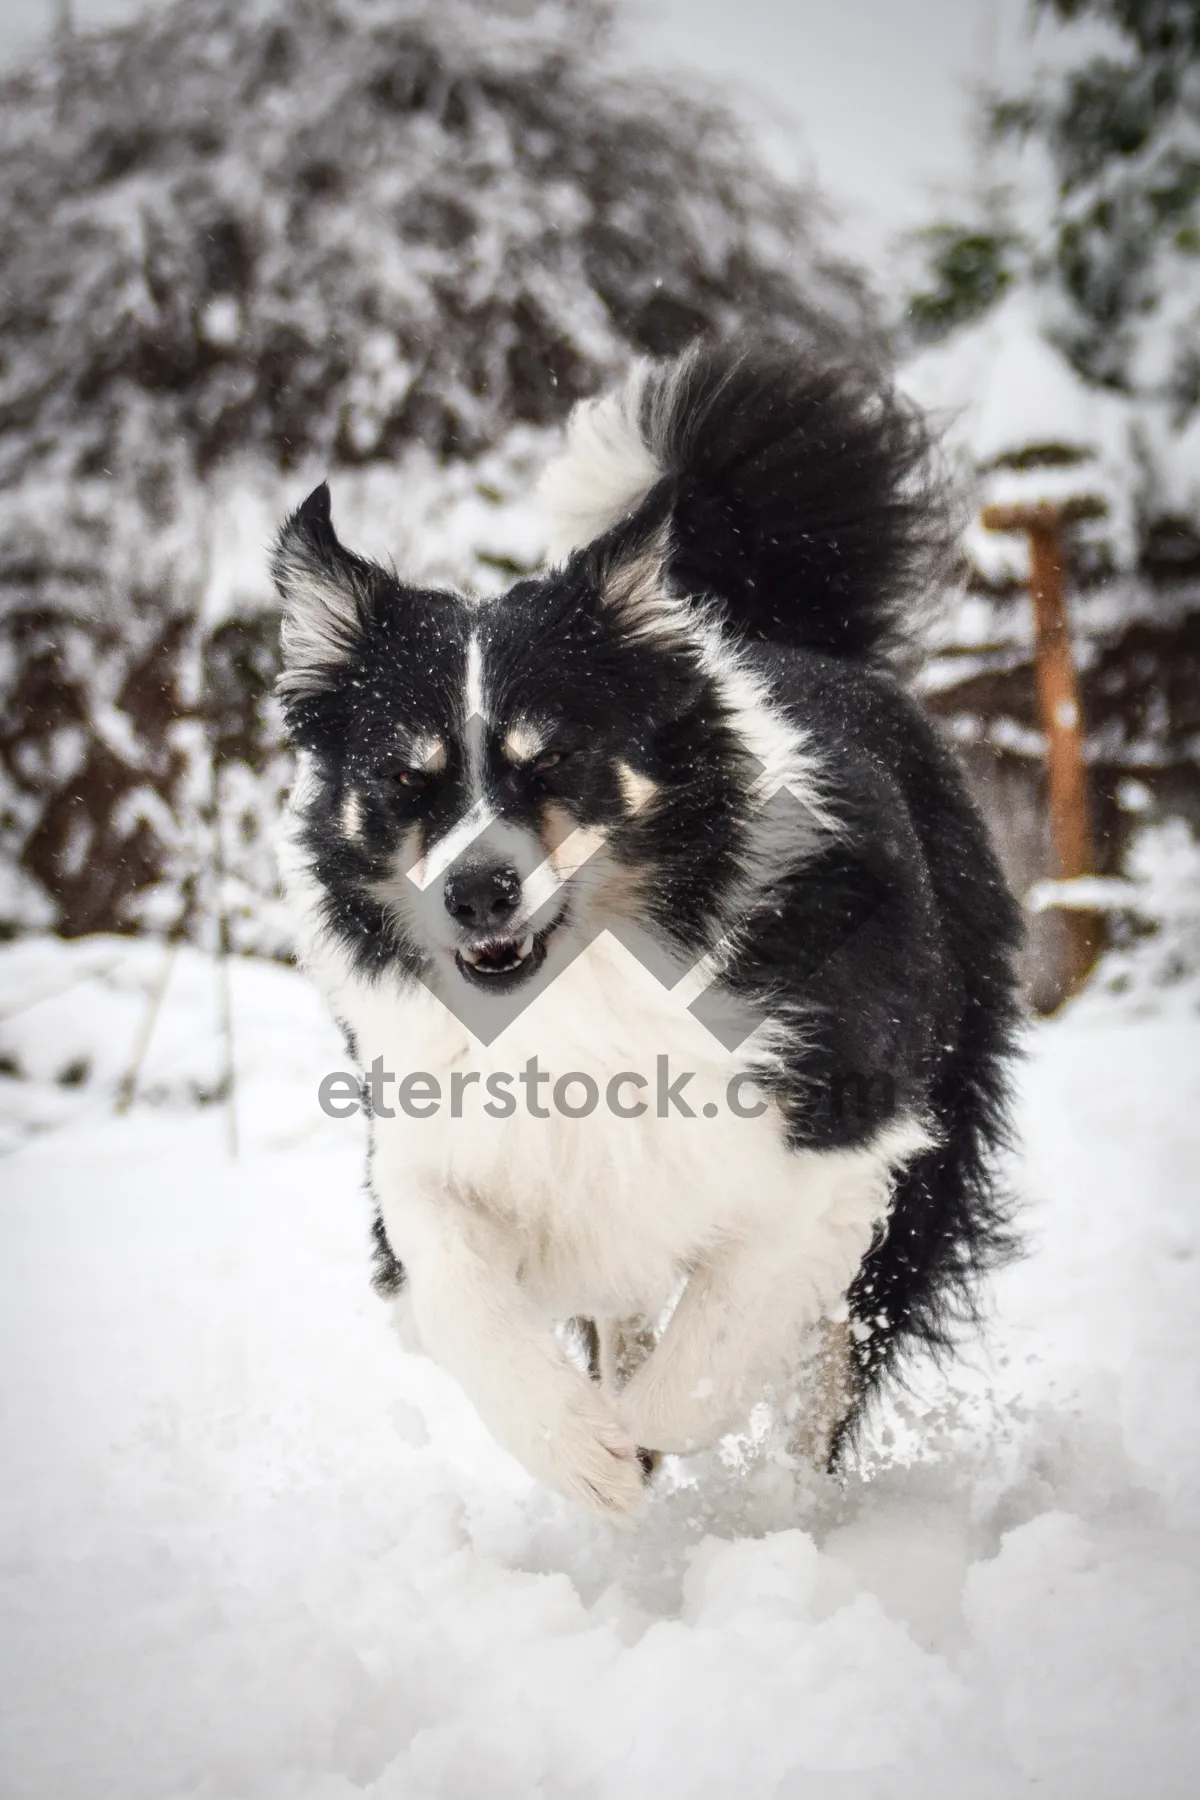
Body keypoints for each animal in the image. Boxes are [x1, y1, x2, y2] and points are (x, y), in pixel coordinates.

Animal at [271, 340, 1021, 1519]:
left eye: (551, 761)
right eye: (407, 780)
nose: (479, 894)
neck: (578, 990)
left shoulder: (839, 1142)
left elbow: (718, 1338)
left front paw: (646, 1440)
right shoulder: (432, 1145)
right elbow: (461, 1291)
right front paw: (582, 1450)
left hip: (932, 1130)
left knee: (832, 1361)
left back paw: (784, 1511)